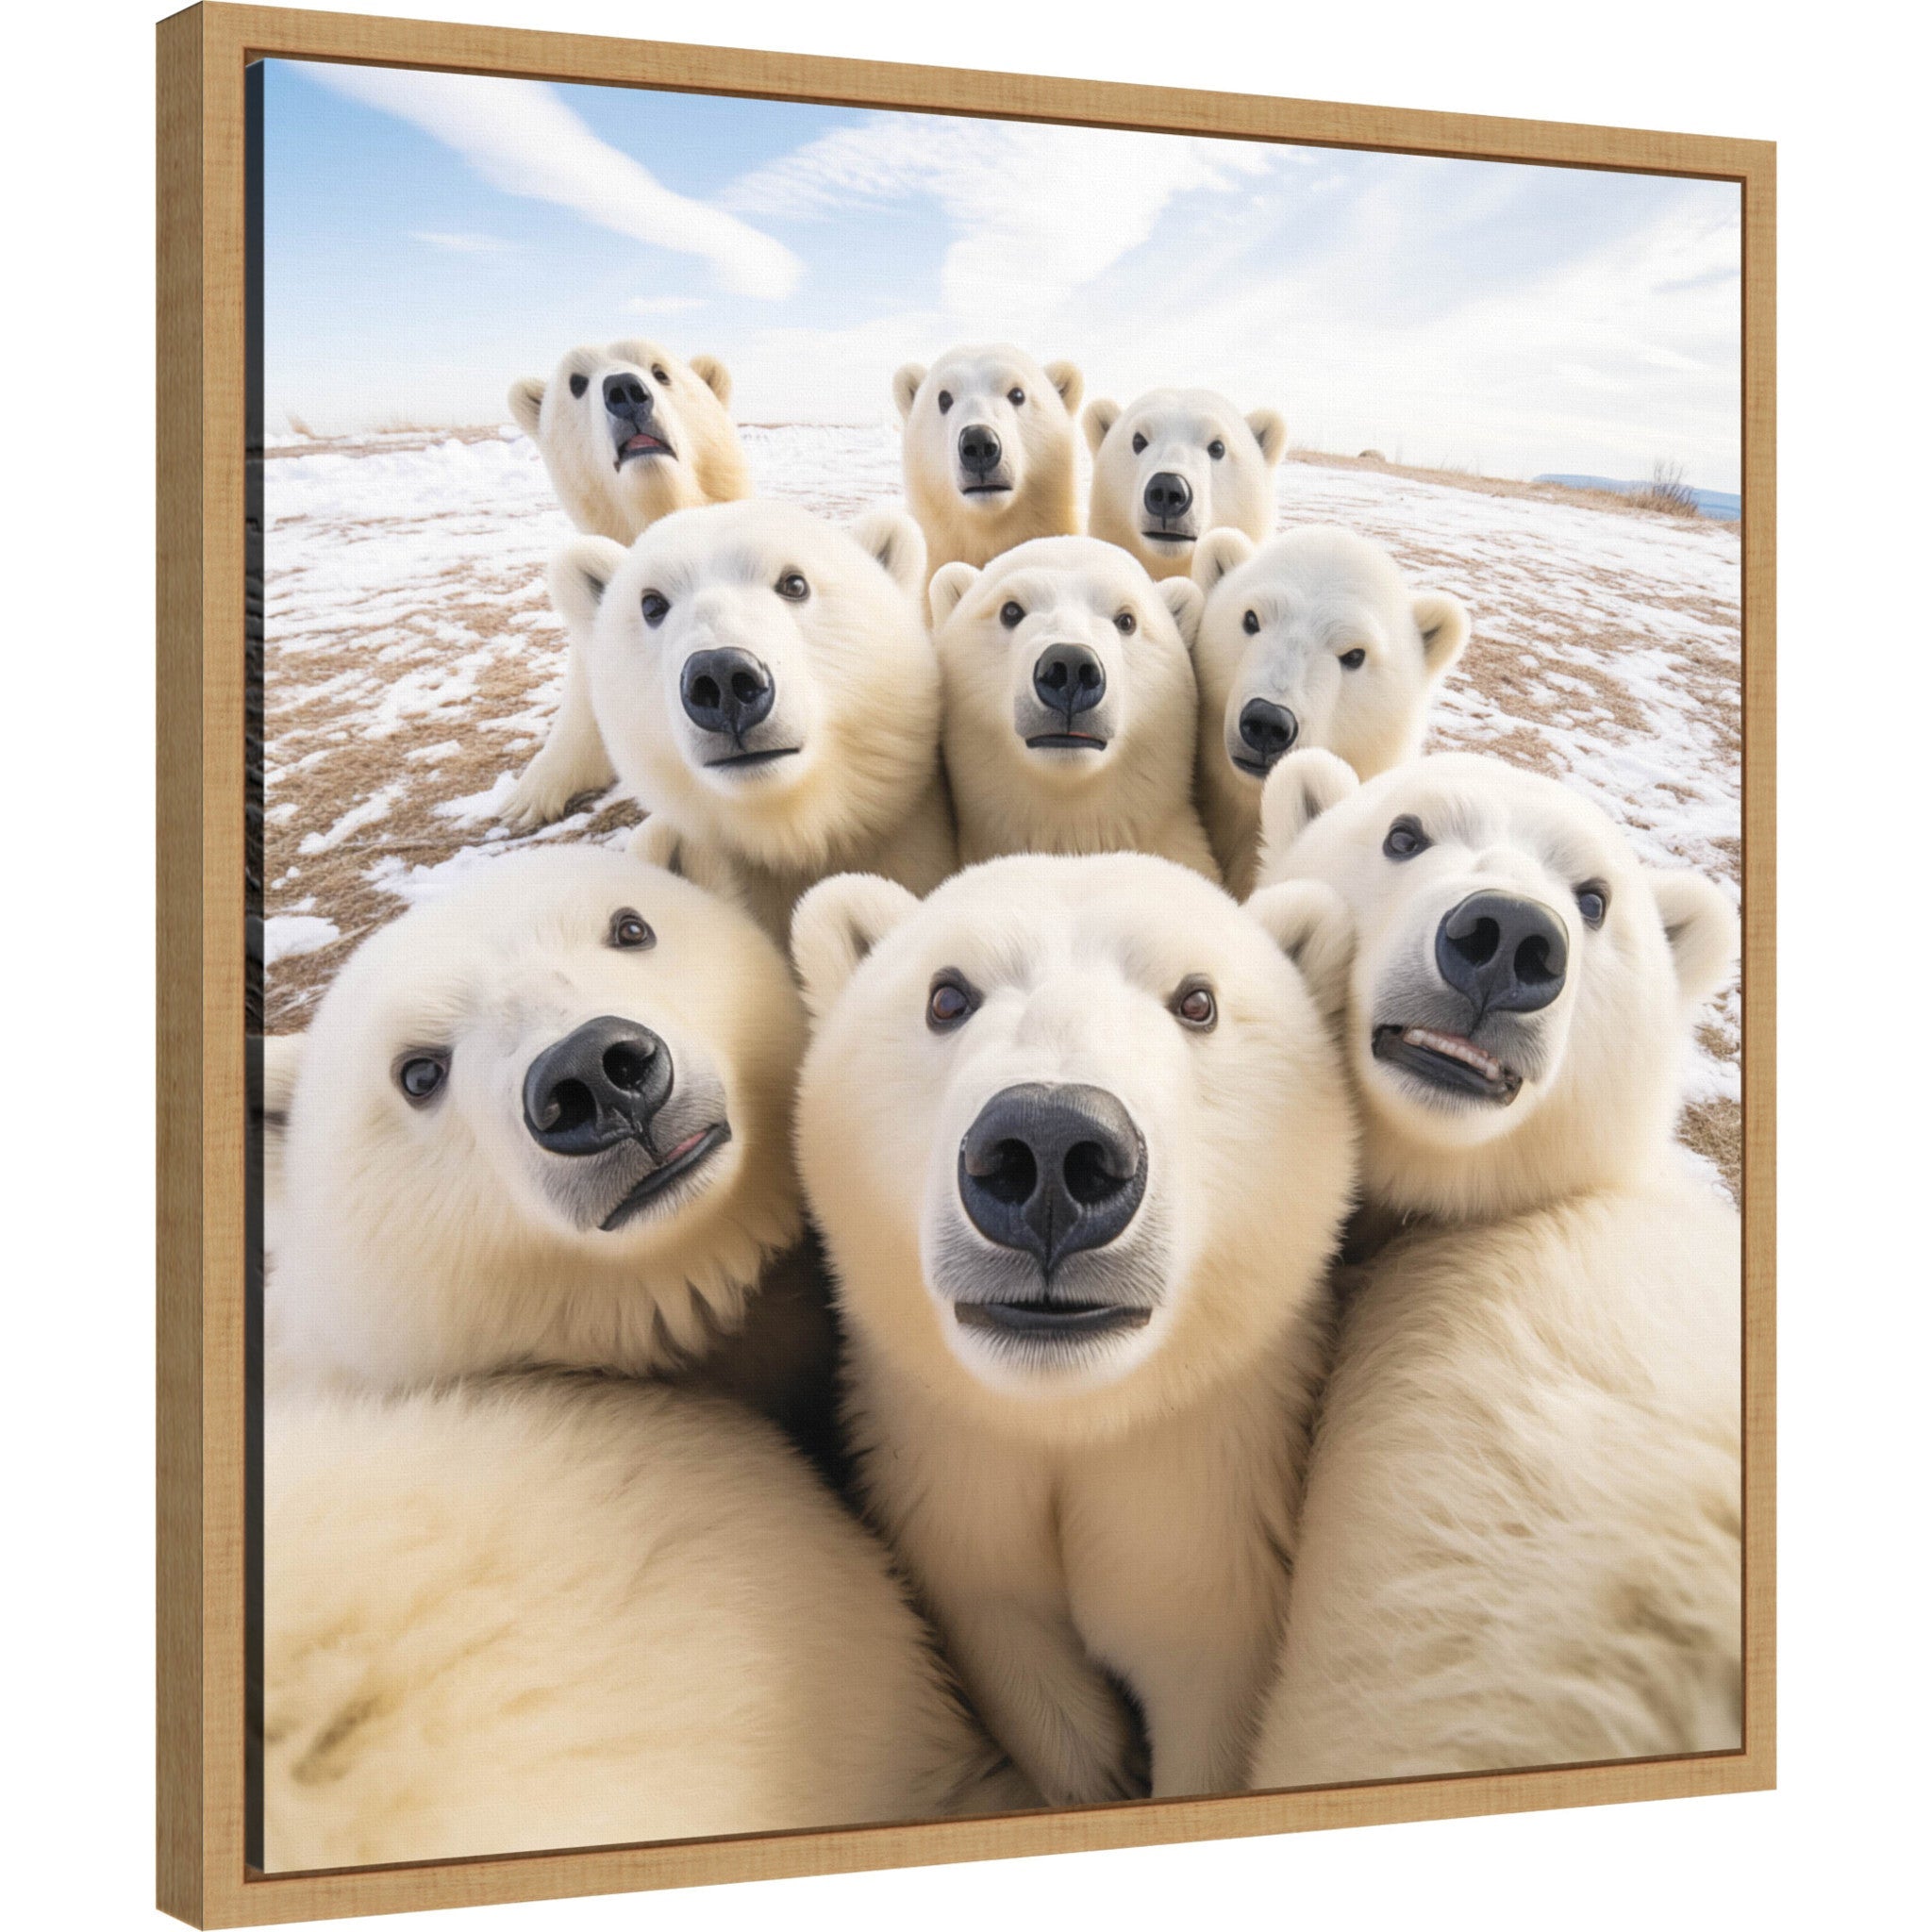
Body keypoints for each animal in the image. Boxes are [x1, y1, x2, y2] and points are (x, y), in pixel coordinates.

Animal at [791, 852, 1358, 1804]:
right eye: (947, 995)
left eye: (1197, 1001)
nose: (1052, 1149)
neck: (1072, 1416)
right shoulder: (950, 1474)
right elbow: (1007, 1632)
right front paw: (1101, 1768)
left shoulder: (1207, 1490)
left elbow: (1203, 1667)